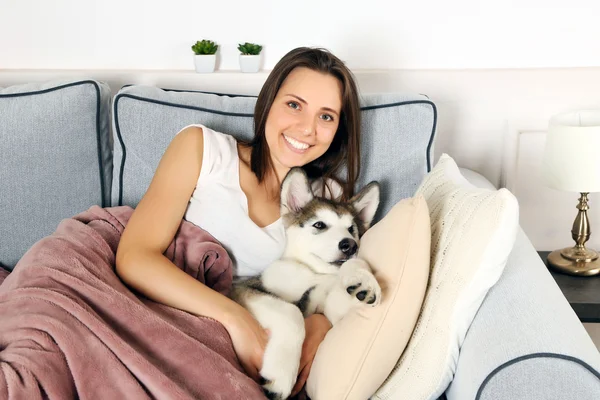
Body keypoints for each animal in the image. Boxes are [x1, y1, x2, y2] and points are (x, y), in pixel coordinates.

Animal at [229, 167, 380, 398]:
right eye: (319, 224)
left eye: (351, 229)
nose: (350, 245)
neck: (315, 273)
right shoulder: (242, 290)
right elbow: (292, 314)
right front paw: (280, 378)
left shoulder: (330, 310)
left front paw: (362, 279)